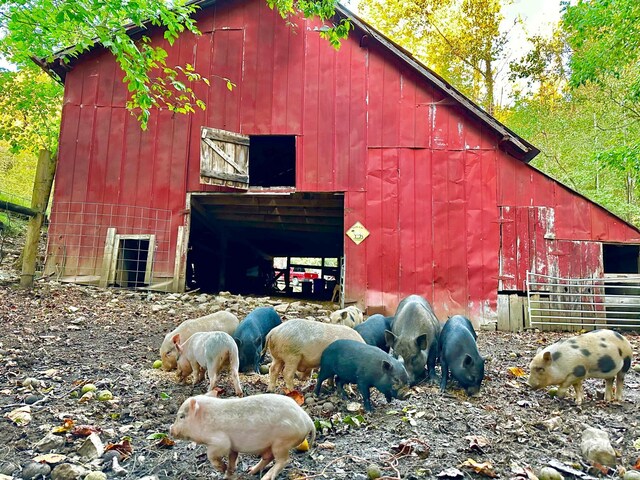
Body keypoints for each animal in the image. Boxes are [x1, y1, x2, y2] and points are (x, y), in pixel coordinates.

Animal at [170, 394, 316, 480]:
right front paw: (228, 474)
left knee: (284, 460)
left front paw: (222, 469)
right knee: (268, 457)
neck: (204, 420)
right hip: (273, 445)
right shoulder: (233, 447)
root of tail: (307, 420)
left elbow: (211, 454)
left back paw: (265, 477)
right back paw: (250, 471)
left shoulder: (220, 441)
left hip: (282, 442)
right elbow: (232, 457)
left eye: (181, 416)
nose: (170, 429)